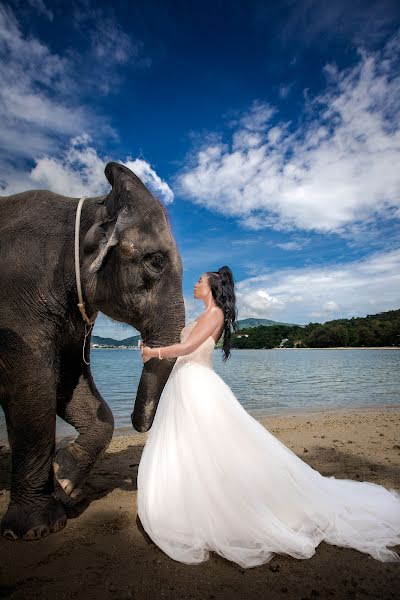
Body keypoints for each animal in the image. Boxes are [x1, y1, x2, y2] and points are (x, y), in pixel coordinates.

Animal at [0, 162, 184, 540]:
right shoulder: (17, 308)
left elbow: (69, 382)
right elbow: (33, 386)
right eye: (155, 261)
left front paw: (63, 480)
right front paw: (34, 530)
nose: (140, 425)